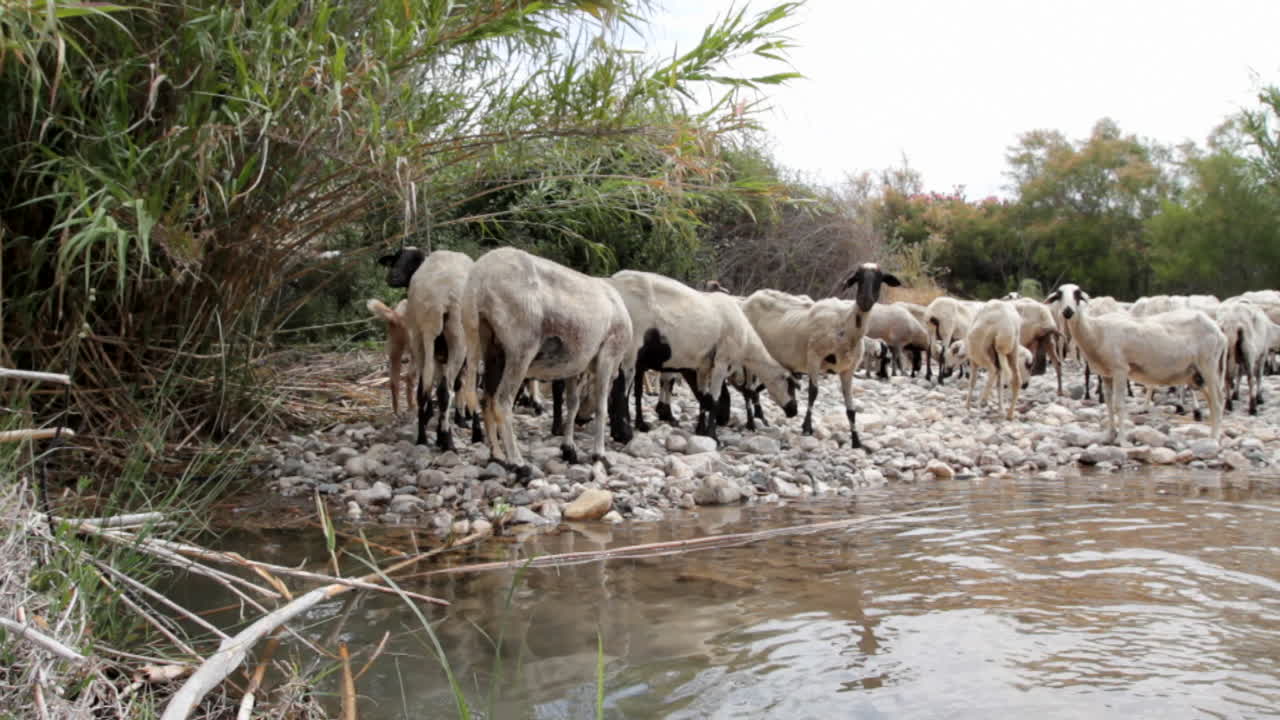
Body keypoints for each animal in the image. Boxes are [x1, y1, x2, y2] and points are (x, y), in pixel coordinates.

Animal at [378, 247, 475, 449]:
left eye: (412, 261)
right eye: (396, 259)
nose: (392, 276)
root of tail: (437, 297)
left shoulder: (438, 354)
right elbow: (461, 384)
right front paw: (463, 421)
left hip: (420, 336)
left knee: (422, 389)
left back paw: (422, 438)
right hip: (457, 337)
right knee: (445, 391)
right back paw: (448, 442)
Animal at [458, 247, 634, 478]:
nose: (627, 436)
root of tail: (478, 281)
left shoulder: (575, 365)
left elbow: (572, 403)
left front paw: (569, 449)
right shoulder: (609, 355)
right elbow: (601, 406)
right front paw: (599, 455)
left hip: (491, 348)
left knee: (487, 399)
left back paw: (497, 455)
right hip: (520, 348)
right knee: (502, 401)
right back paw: (518, 463)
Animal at [607, 270, 798, 441]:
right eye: (790, 385)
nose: (794, 411)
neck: (747, 341)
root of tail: (614, 283)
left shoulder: (703, 367)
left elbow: (703, 397)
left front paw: (700, 430)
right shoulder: (722, 362)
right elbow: (712, 400)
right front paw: (713, 436)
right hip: (631, 350)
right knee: (620, 392)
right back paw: (624, 434)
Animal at [741, 263, 901, 447]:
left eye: (880, 278)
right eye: (858, 277)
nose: (865, 301)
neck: (846, 325)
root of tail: (750, 298)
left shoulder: (848, 369)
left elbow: (851, 409)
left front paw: (856, 440)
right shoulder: (814, 357)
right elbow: (813, 392)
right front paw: (806, 428)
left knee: (757, 387)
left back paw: (761, 418)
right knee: (748, 389)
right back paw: (751, 423)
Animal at [1046, 283, 1226, 443]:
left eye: (1077, 294)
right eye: (1059, 295)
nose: (1068, 311)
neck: (1096, 331)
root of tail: (1219, 332)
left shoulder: (1120, 370)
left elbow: (1119, 405)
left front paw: (1122, 440)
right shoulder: (1106, 374)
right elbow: (1109, 404)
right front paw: (1109, 436)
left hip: (1209, 365)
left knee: (1218, 402)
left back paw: (1215, 438)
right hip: (1195, 374)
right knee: (1212, 402)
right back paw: (1210, 433)